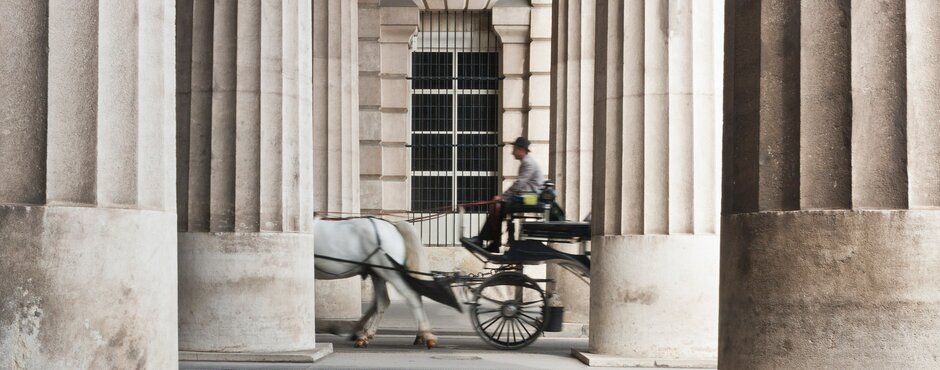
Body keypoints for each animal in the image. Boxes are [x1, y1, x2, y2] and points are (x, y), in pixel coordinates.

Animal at [312, 217, 436, 346]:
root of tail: (394, 225)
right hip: (378, 274)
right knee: (384, 302)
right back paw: (366, 335)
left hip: (389, 272)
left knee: (411, 296)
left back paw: (426, 334)